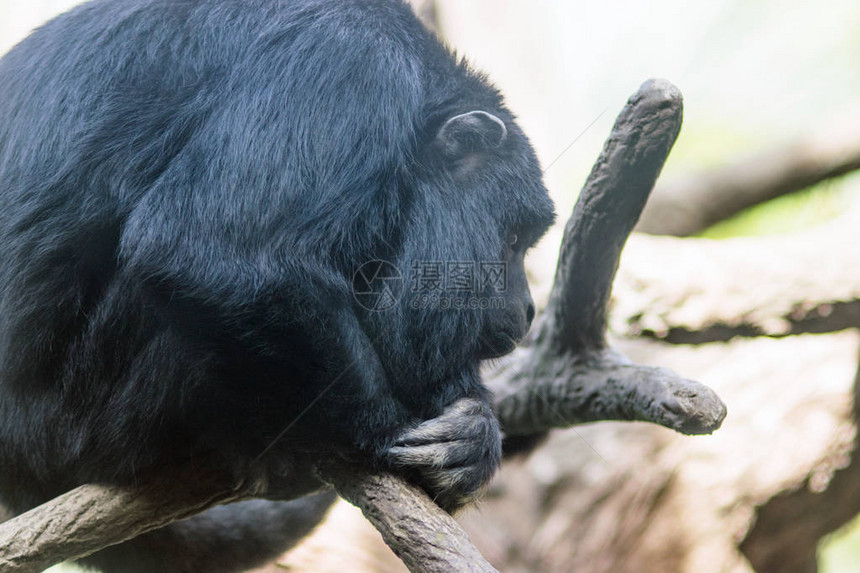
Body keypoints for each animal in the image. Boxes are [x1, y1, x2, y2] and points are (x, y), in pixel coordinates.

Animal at [0, 2, 556, 568]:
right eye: (512, 239)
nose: (528, 308)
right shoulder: (350, 63)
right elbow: (213, 253)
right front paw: (396, 433)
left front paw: (475, 435)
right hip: (81, 420)